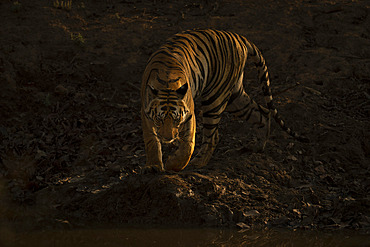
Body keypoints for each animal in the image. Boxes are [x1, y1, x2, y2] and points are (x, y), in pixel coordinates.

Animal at [139, 28, 306, 172]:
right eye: (159, 120)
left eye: (176, 119)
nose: (168, 138)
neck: (166, 83)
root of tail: (239, 37)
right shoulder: (146, 114)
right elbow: (151, 141)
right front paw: (153, 166)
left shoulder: (189, 114)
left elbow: (188, 144)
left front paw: (174, 165)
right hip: (234, 97)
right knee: (262, 112)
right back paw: (257, 148)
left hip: (215, 98)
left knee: (213, 137)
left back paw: (198, 162)